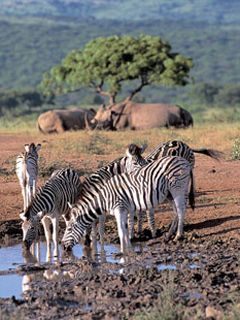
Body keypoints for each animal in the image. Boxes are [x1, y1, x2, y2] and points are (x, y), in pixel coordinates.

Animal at [62, 156, 195, 255]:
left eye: (69, 229)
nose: (63, 246)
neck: (104, 199)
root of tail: (184, 161)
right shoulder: (124, 210)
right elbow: (125, 229)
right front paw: (129, 248)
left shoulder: (119, 209)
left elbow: (120, 230)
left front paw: (122, 251)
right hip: (169, 193)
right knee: (176, 211)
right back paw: (168, 236)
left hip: (177, 188)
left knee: (181, 210)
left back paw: (178, 236)